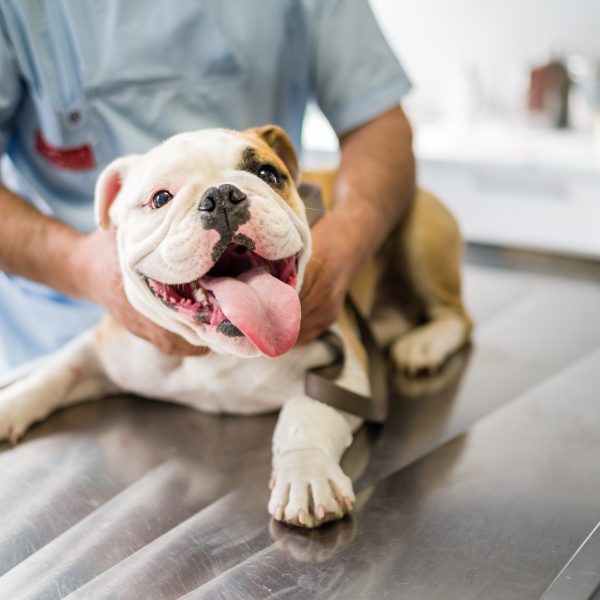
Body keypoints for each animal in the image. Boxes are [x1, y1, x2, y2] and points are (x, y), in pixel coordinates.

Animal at [0, 125, 472, 524]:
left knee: (457, 315)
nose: (222, 196)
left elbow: (304, 414)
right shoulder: (104, 348)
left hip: (419, 235)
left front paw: (306, 474)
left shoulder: (346, 368)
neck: (215, 350)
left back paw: (424, 345)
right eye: (160, 198)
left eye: (267, 173)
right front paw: (10, 406)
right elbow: (54, 373)